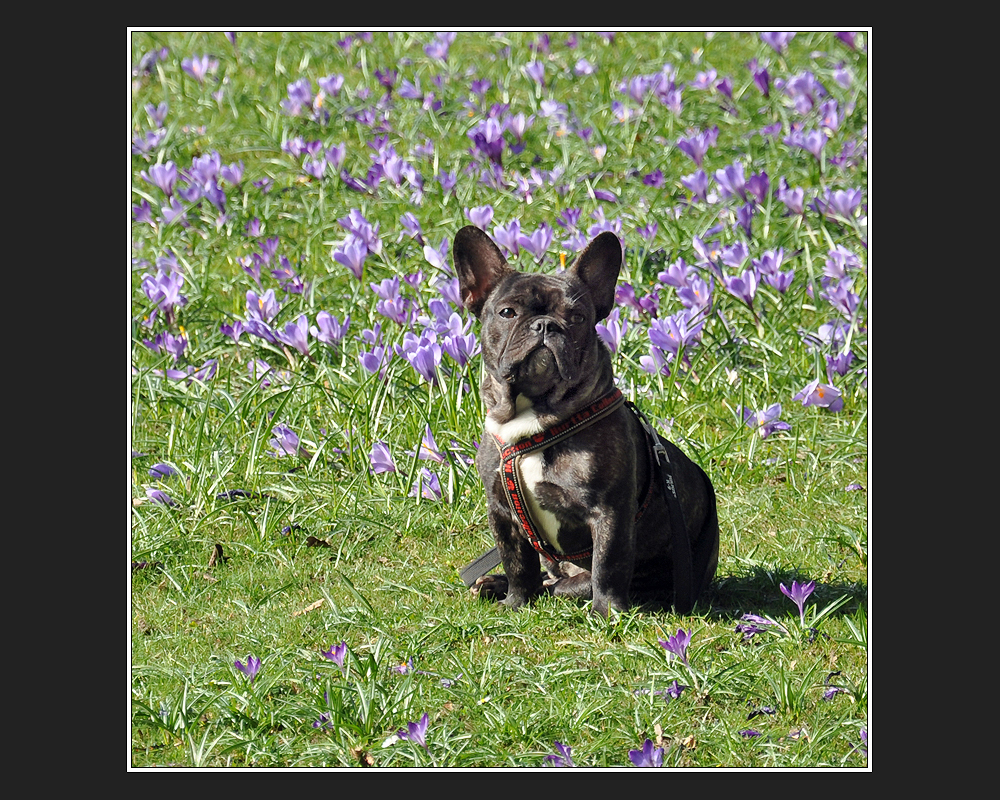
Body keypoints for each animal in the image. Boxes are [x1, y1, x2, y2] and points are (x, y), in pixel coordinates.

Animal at [454, 225, 720, 620]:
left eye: (578, 317)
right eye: (507, 312)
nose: (545, 325)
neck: (536, 420)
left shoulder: (609, 511)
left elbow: (607, 564)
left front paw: (608, 612)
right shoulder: (502, 512)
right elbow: (518, 562)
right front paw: (515, 601)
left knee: (569, 584)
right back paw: (493, 583)